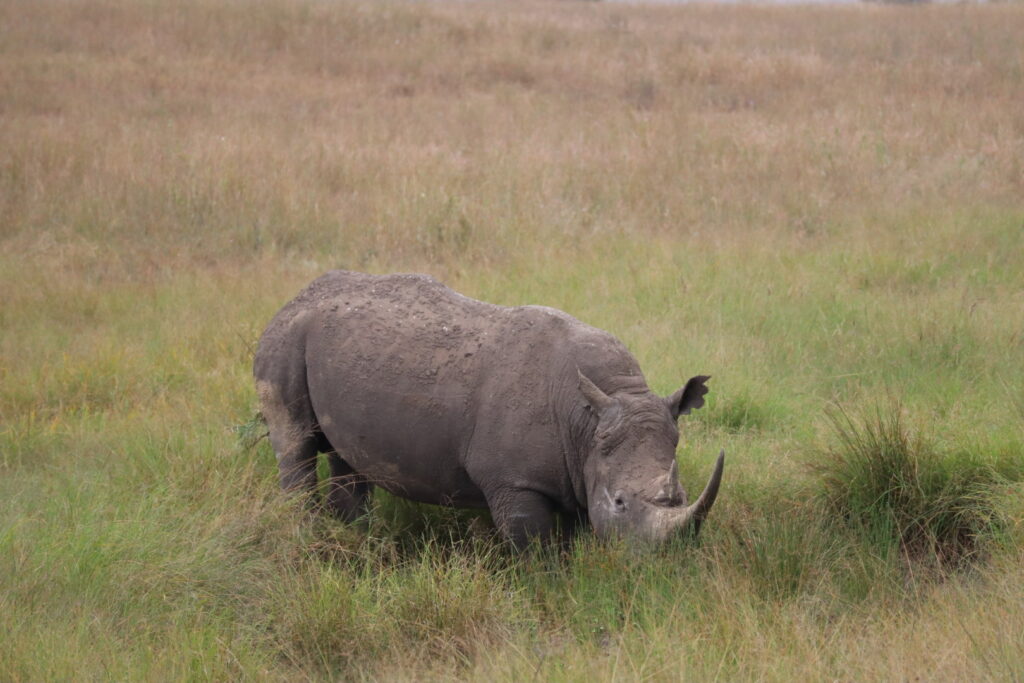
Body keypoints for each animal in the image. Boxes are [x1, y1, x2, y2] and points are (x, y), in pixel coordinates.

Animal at [253, 270, 720, 548]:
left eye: (680, 497)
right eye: (620, 503)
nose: (664, 559)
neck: (589, 418)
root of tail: (294, 297)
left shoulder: (578, 469)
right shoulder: (514, 480)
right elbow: (534, 548)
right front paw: (545, 586)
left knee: (345, 455)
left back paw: (355, 534)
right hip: (285, 337)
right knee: (295, 443)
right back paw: (308, 533)